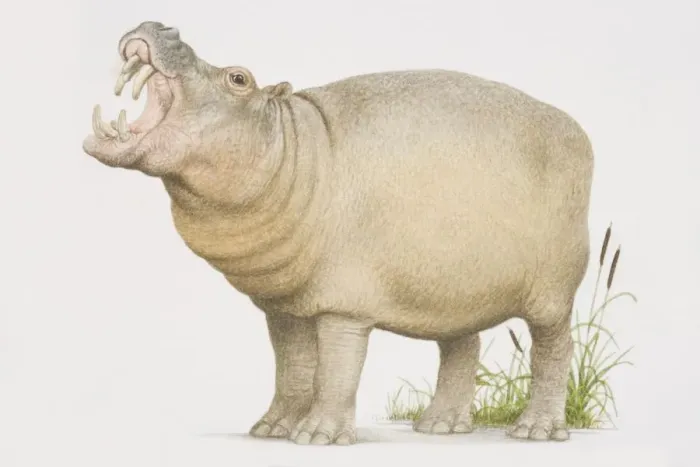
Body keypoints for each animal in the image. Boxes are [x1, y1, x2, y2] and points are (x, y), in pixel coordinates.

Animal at [82, 21, 593, 445]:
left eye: (239, 78)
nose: (164, 24)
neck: (290, 144)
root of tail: (579, 131)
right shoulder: (283, 306)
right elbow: (293, 368)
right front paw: (270, 430)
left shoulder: (344, 304)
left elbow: (335, 370)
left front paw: (317, 438)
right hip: (453, 290)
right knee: (461, 347)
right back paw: (437, 427)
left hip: (551, 293)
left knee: (554, 348)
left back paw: (535, 432)